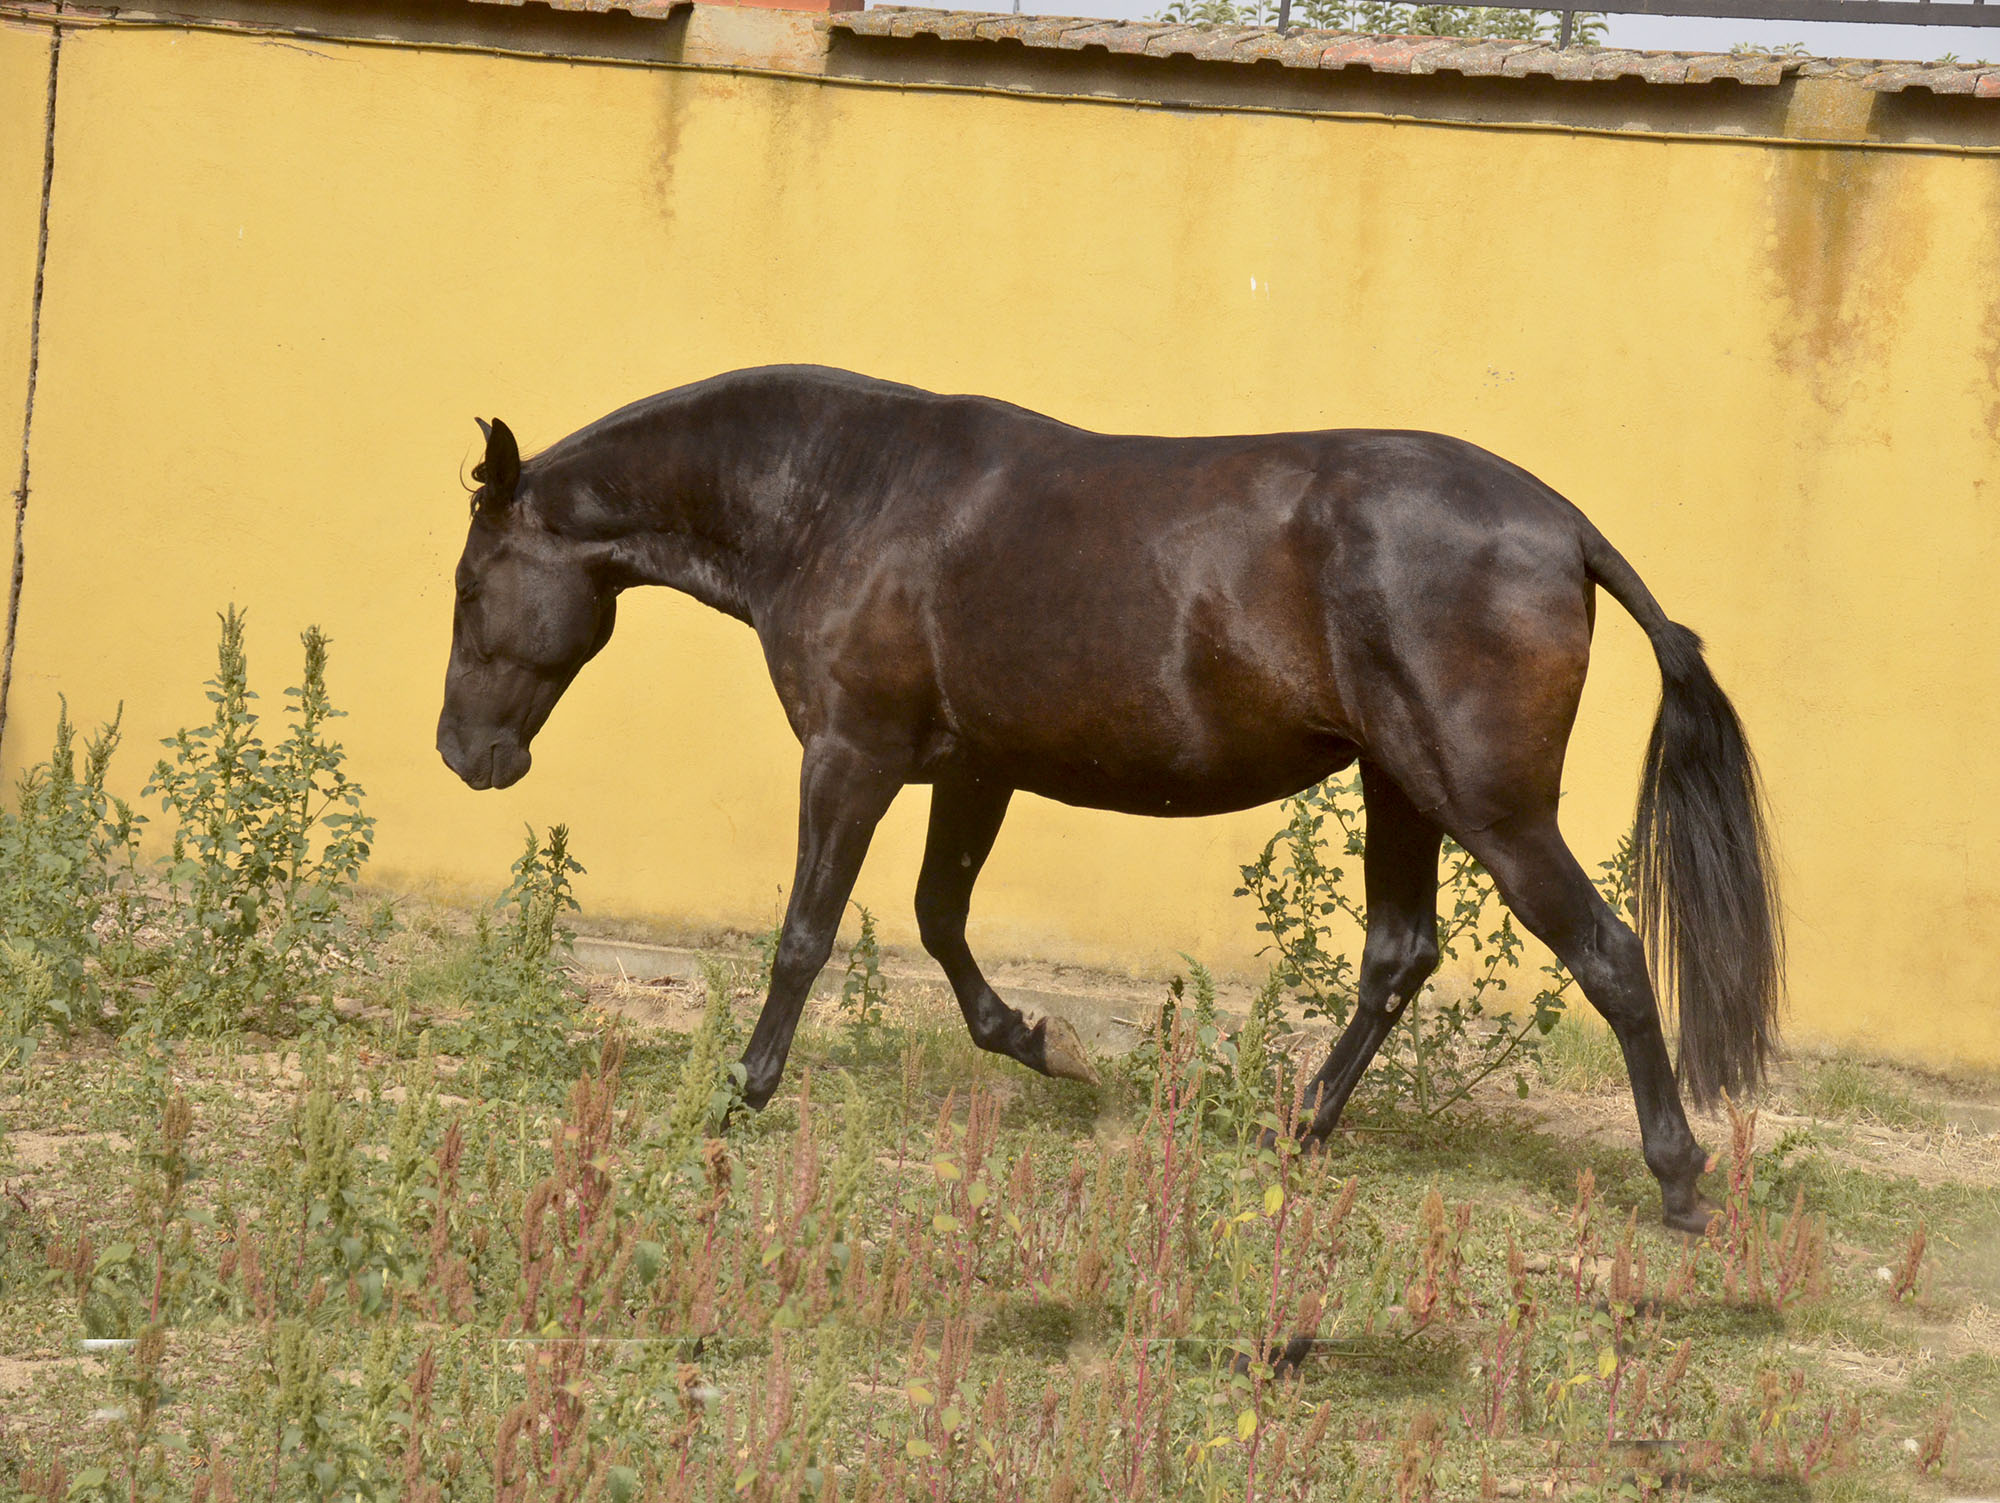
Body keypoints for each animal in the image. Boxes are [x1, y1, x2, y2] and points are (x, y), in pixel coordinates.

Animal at [438, 367, 1784, 1231]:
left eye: (466, 585)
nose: (463, 753)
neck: (844, 496)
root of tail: (1564, 532)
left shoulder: (850, 755)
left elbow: (807, 936)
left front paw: (741, 1091)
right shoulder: (972, 769)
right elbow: (937, 920)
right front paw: (1048, 1046)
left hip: (1487, 809)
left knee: (1607, 956)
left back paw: (1677, 1181)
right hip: (1399, 786)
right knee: (1397, 955)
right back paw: (1294, 1130)